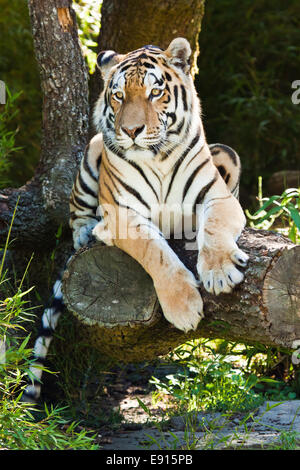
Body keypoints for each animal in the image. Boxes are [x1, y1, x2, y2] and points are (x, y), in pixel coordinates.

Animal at [22, 37, 248, 404]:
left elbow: (214, 229)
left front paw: (219, 274)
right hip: (92, 152)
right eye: (118, 95)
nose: (130, 130)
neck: (158, 158)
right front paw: (184, 307)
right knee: (76, 214)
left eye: (155, 93)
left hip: (226, 152)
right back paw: (88, 232)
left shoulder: (218, 197)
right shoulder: (122, 216)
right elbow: (155, 252)